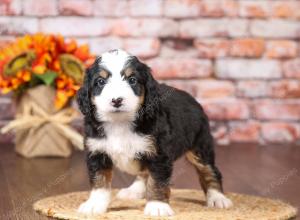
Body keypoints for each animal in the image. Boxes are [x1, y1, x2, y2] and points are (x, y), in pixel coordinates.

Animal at [75, 49, 232, 216]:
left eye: (132, 80)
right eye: (100, 82)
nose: (116, 100)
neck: (120, 122)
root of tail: (191, 98)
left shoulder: (158, 154)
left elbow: (157, 181)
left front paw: (157, 206)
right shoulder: (97, 152)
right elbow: (100, 182)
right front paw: (94, 204)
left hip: (200, 146)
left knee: (209, 170)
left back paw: (217, 197)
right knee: (144, 173)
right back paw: (135, 190)